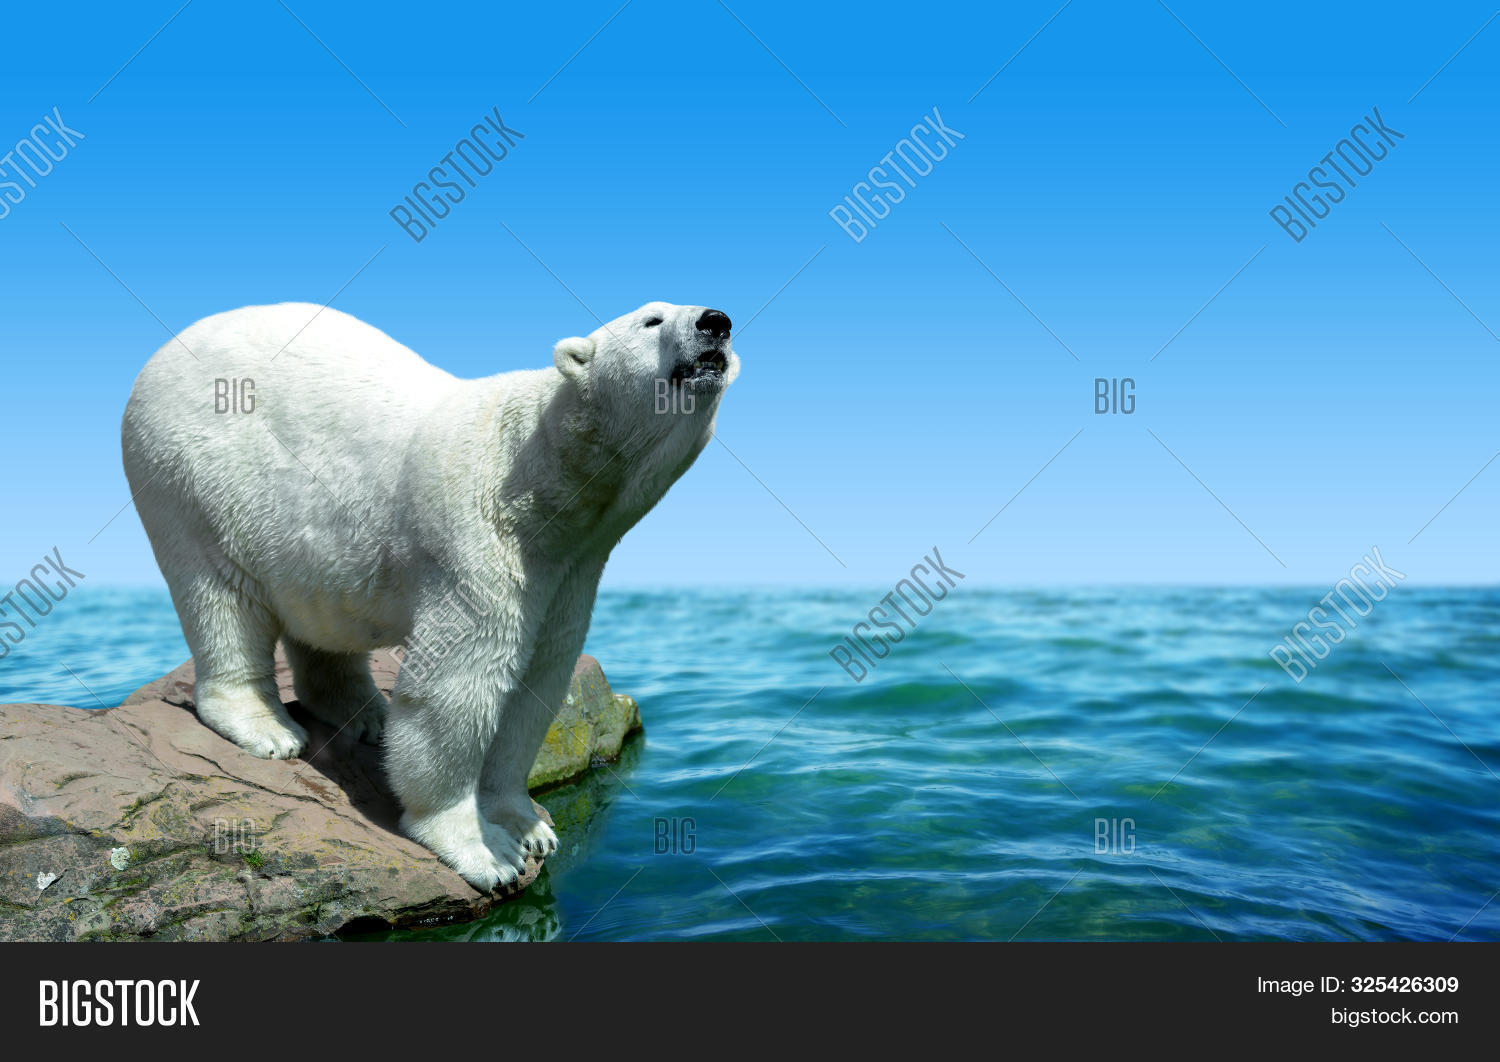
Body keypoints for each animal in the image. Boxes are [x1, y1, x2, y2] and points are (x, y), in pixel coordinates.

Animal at [121, 301, 737, 889]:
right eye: (651, 319)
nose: (717, 322)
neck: (544, 475)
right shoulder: (479, 539)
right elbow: (458, 686)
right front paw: (487, 853)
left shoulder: (572, 568)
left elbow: (538, 682)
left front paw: (529, 826)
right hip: (195, 479)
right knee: (221, 596)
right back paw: (268, 729)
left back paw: (364, 715)